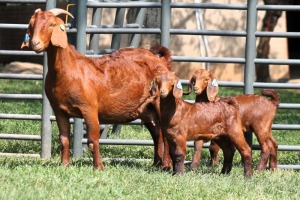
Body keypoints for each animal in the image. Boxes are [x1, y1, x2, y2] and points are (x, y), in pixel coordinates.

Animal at [20, 8, 171, 170]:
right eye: (31, 24)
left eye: (51, 24)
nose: (35, 43)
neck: (69, 70)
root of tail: (161, 61)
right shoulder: (59, 110)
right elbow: (64, 139)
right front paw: (65, 165)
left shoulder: (89, 108)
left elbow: (93, 140)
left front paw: (98, 167)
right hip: (147, 109)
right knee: (157, 133)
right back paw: (156, 163)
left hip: (160, 101)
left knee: (165, 132)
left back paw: (166, 166)